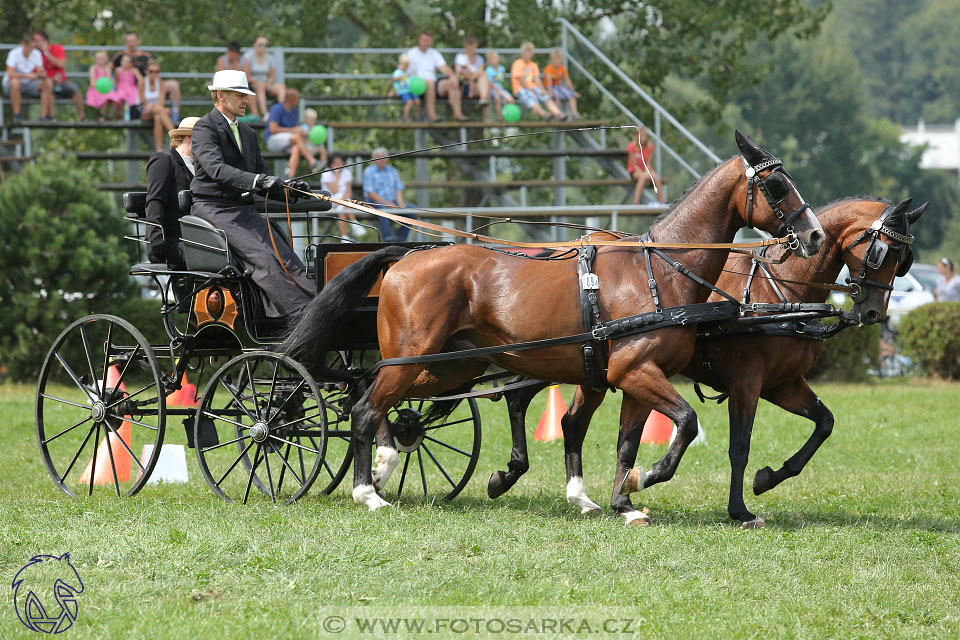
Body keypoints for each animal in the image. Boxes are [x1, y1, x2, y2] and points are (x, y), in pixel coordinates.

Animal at [284, 131, 824, 520]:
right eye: (777, 184)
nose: (815, 235)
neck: (660, 271)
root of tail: (405, 256)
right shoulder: (635, 371)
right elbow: (687, 422)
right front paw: (646, 479)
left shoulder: (631, 376)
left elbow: (626, 440)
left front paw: (623, 501)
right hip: (413, 356)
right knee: (365, 407)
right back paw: (369, 491)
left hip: (449, 367)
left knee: (380, 402)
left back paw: (384, 466)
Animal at [496, 198, 924, 528]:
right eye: (882, 252)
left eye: (905, 258)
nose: (873, 313)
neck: (781, 287)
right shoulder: (747, 381)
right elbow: (740, 445)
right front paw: (740, 510)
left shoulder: (782, 383)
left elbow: (824, 423)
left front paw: (769, 478)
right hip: (551, 357)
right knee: (517, 399)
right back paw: (511, 473)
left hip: (589, 368)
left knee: (569, 421)